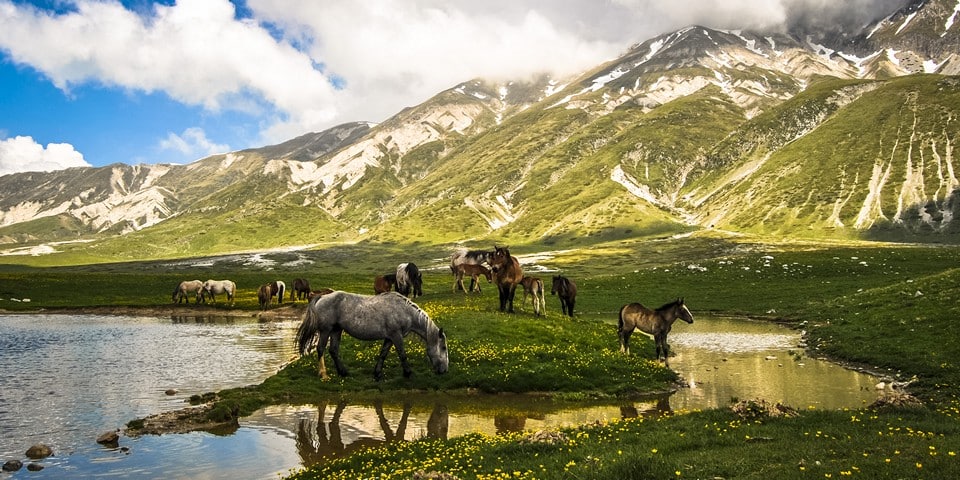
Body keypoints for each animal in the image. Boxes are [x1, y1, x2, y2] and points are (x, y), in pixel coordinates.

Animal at [296, 290, 450, 380]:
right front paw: (407, 373)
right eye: (443, 348)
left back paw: (343, 372)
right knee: (320, 349)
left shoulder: (389, 338)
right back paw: (324, 375)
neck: (404, 311)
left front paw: (377, 373)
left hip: (336, 330)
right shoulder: (396, 336)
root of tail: (321, 297)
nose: (444, 370)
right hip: (326, 330)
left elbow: (383, 354)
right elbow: (402, 354)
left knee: (333, 350)